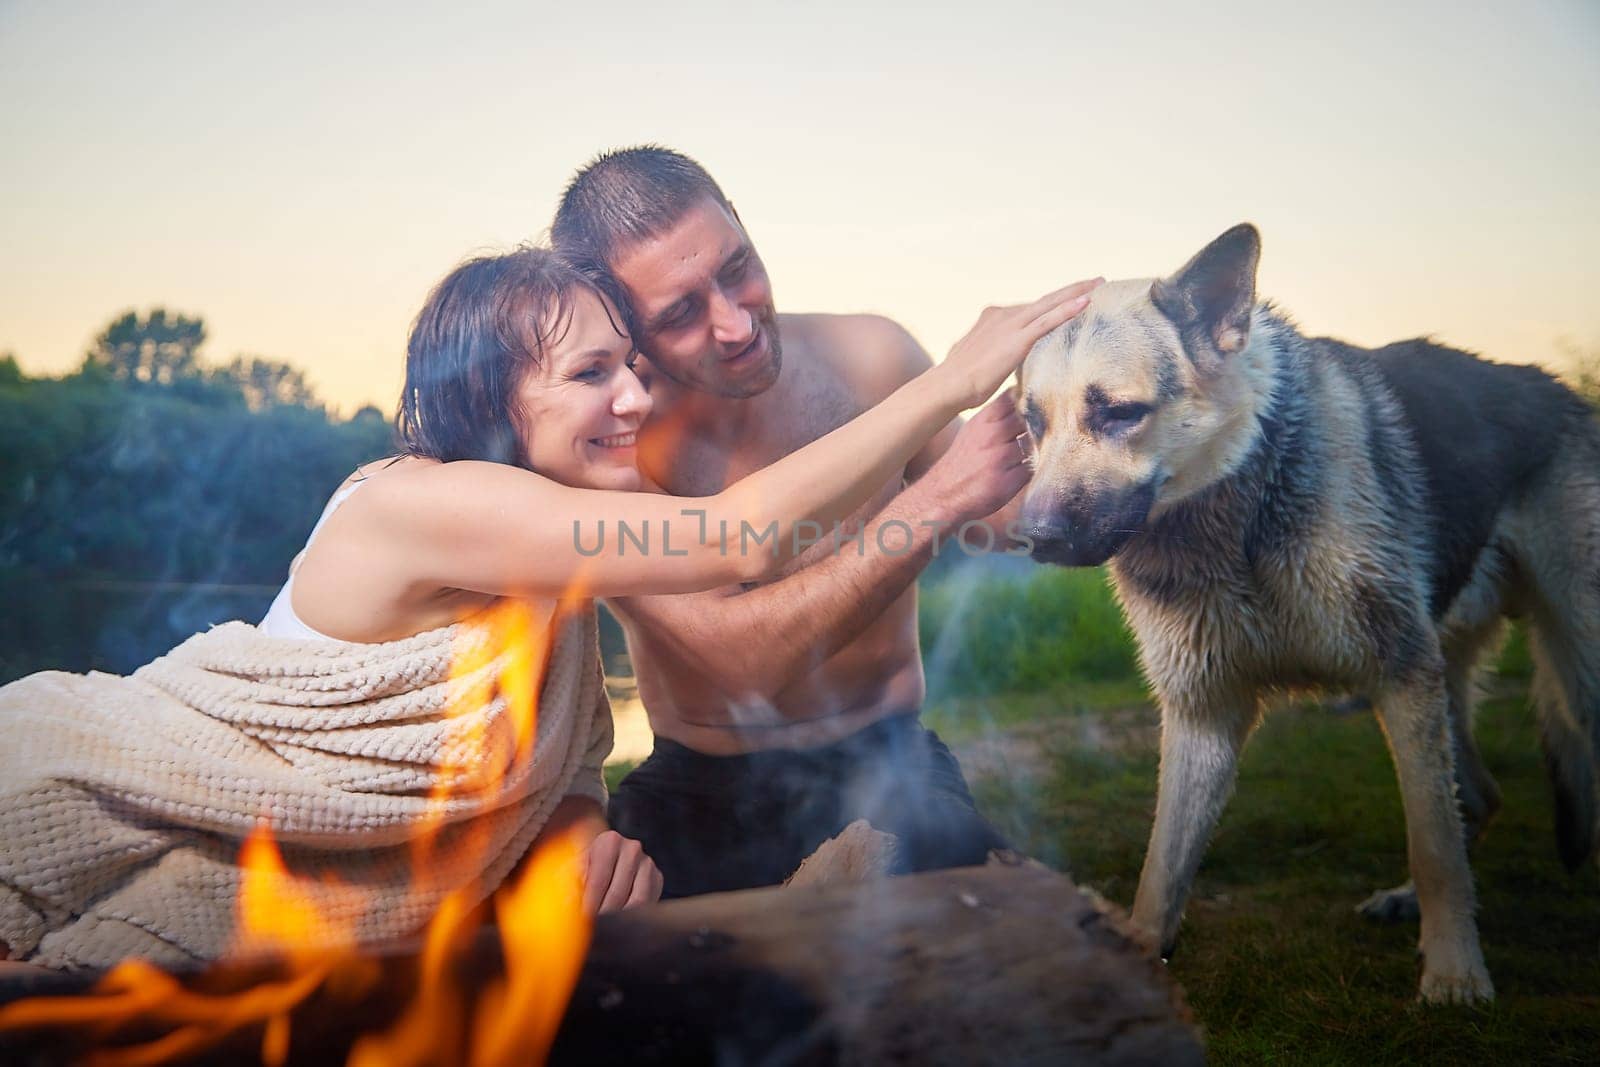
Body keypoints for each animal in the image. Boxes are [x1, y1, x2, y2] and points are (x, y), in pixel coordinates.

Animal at [1017, 223, 1593, 1004]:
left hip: (1573, 672)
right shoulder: (1203, 713)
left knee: (1463, 804)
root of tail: (1562, 390)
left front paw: (1454, 972)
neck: (1237, 526)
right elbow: (1160, 870)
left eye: (1118, 412)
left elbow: (1432, 842)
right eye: (1031, 423)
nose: (1033, 536)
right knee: (1478, 793)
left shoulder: (1400, 678)